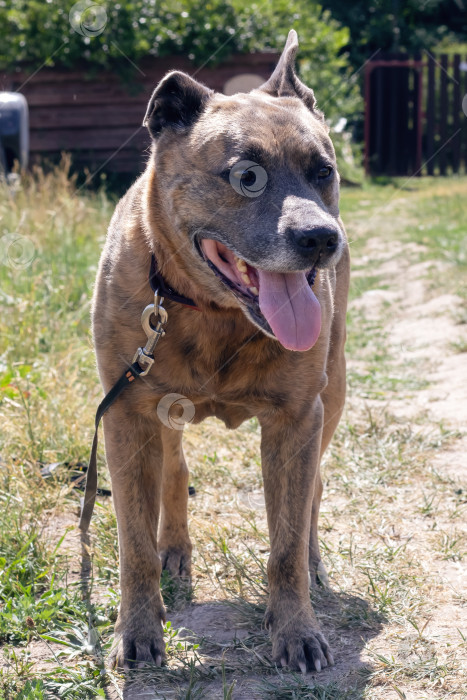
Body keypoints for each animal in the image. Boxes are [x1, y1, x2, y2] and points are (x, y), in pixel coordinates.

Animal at [92, 31, 352, 672]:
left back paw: (314, 560)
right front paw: (137, 630)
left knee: (313, 493)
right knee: (176, 470)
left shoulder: (296, 418)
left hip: (333, 392)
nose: (321, 240)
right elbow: (134, 541)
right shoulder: (127, 416)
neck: (214, 313)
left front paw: (296, 630)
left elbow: (286, 541)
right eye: (248, 177)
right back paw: (175, 550)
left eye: (324, 172)